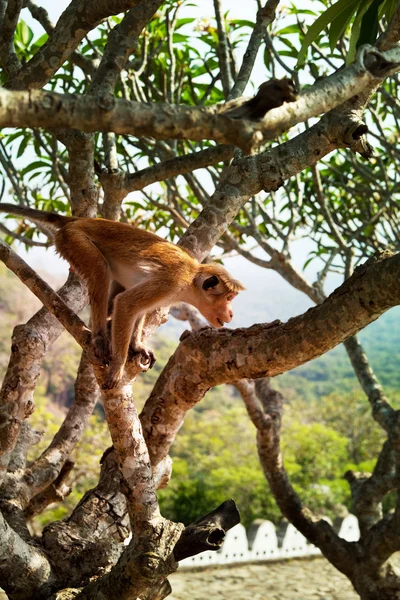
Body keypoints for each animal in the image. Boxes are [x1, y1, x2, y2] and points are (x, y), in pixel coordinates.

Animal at [0, 203, 244, 390]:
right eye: (228, 298)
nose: (232, 313)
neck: (191, 280)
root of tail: (80, 220)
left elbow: (137, 309)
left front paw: (136, 345)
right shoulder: (171, 282)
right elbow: (127, 304)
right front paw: (118, 365)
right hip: (74, 239)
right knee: (100, 269)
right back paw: (100, 335)